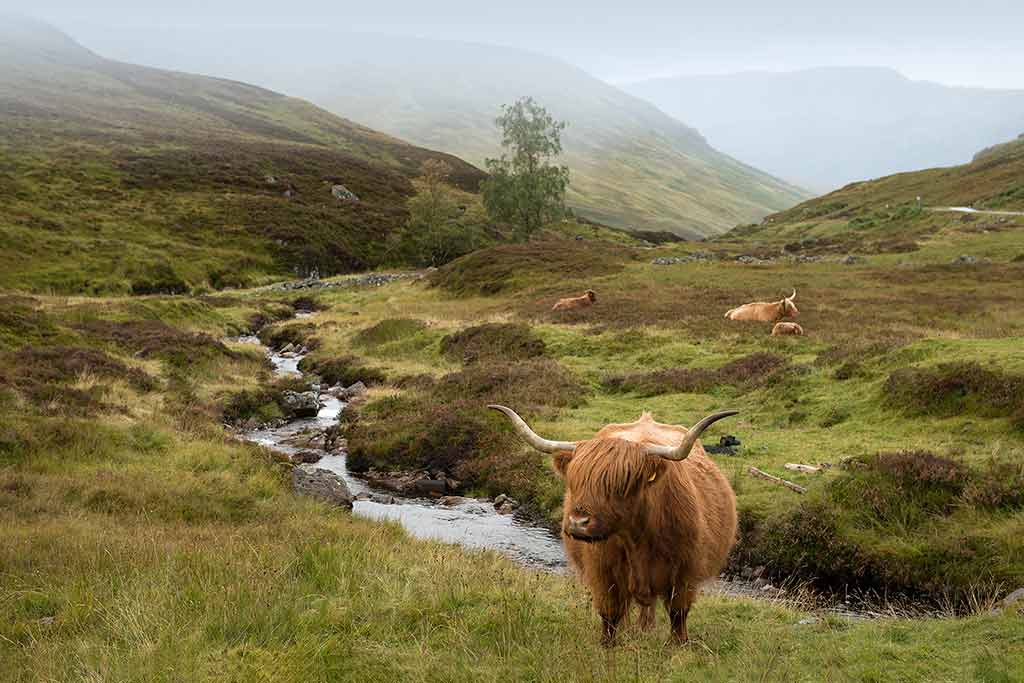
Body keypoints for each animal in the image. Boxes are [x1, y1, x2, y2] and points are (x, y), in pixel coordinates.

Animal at [487, 403, 737, 651]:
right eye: (576, 481)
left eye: (621, 484)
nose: (578, 523)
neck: (637, 538)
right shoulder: (602, 571)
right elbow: (609, 612)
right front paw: (608, 644)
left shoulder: (686, 570)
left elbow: (678, 612)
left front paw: (679, 644)